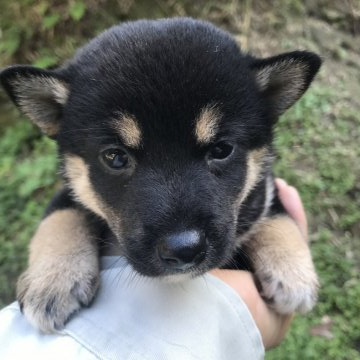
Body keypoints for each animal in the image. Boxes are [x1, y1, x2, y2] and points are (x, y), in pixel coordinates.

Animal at [0, 16, 320, 332]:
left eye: (221, 149)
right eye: (115, 157)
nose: (184, 250)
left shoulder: (263, 190)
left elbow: (277, 216)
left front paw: (293, 273)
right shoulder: (73, 190)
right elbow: (60, 217)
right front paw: (52, 280)